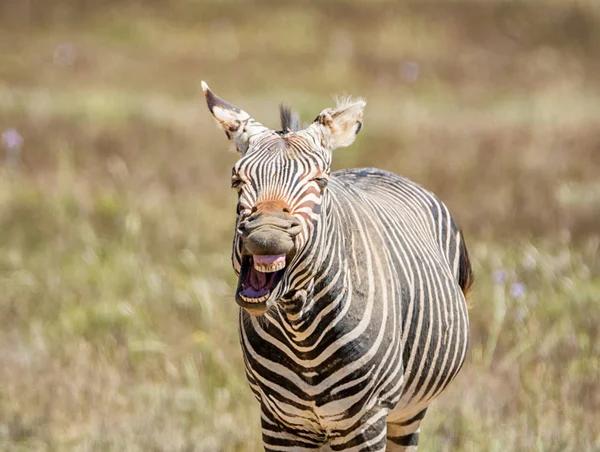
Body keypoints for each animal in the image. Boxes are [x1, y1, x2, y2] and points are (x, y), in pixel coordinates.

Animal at [202, 82, 474, 452]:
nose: (267, 235)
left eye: (320, 182)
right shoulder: (278, 422)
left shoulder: (367, 421)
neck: (300, 334)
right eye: (236, 181)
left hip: (408, 410)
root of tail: (375, 169)